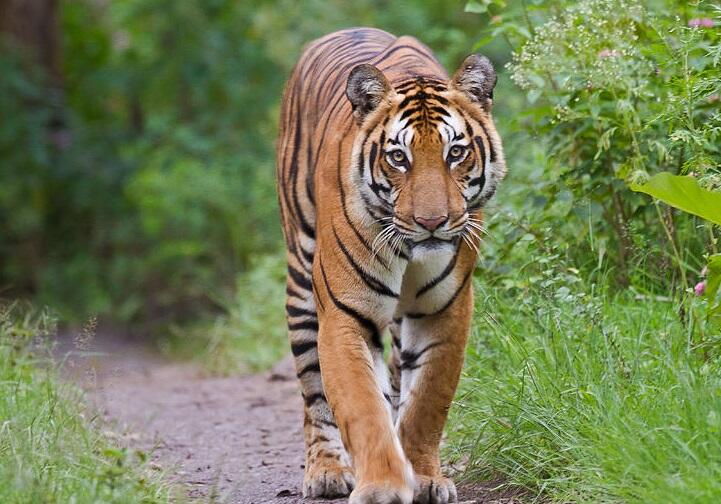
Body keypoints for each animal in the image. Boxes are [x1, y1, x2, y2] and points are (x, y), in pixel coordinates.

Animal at [276, 27, 505, 504]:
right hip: (301, 282)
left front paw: (425, 478)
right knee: (313, 391)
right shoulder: (344, 316)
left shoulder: (444, 312)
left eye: (456, 153)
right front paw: (381, 485)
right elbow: (362, 406)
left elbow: (425, 405)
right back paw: (326, 471)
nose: (432, 222)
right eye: (399, 157)